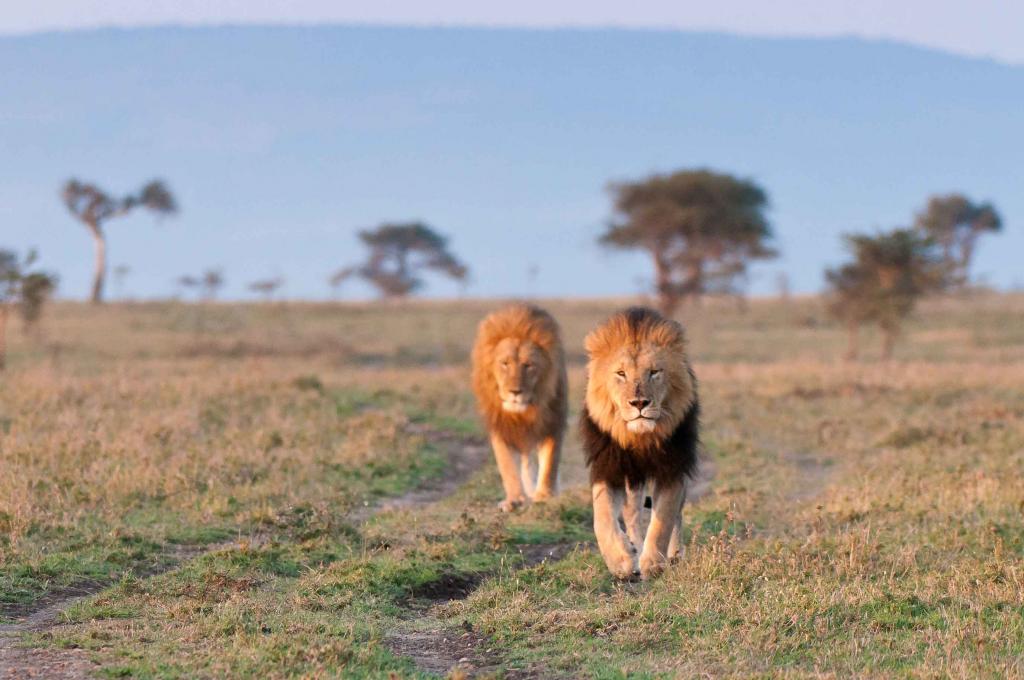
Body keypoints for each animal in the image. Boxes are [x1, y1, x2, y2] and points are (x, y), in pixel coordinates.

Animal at [471, 304, 568, 512]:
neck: (522, 413)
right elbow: (508, 466)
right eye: (504, 363)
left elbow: (550, 462)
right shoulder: (501, 427)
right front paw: (515, 499)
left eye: (528, 365)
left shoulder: (553, 422)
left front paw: (544, 496)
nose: (515, 392)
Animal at [580, 307, 699, 580]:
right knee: (631, 513)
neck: (640, 436)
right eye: (621, 374)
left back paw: (673, 555)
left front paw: (653, 563)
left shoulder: (673, 468)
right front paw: (621, 560)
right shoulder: (608, 466)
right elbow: (602, 517)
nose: (639, 403)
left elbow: (664, 518)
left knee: (676, 514)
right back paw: (633, 547)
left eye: (654, 372)